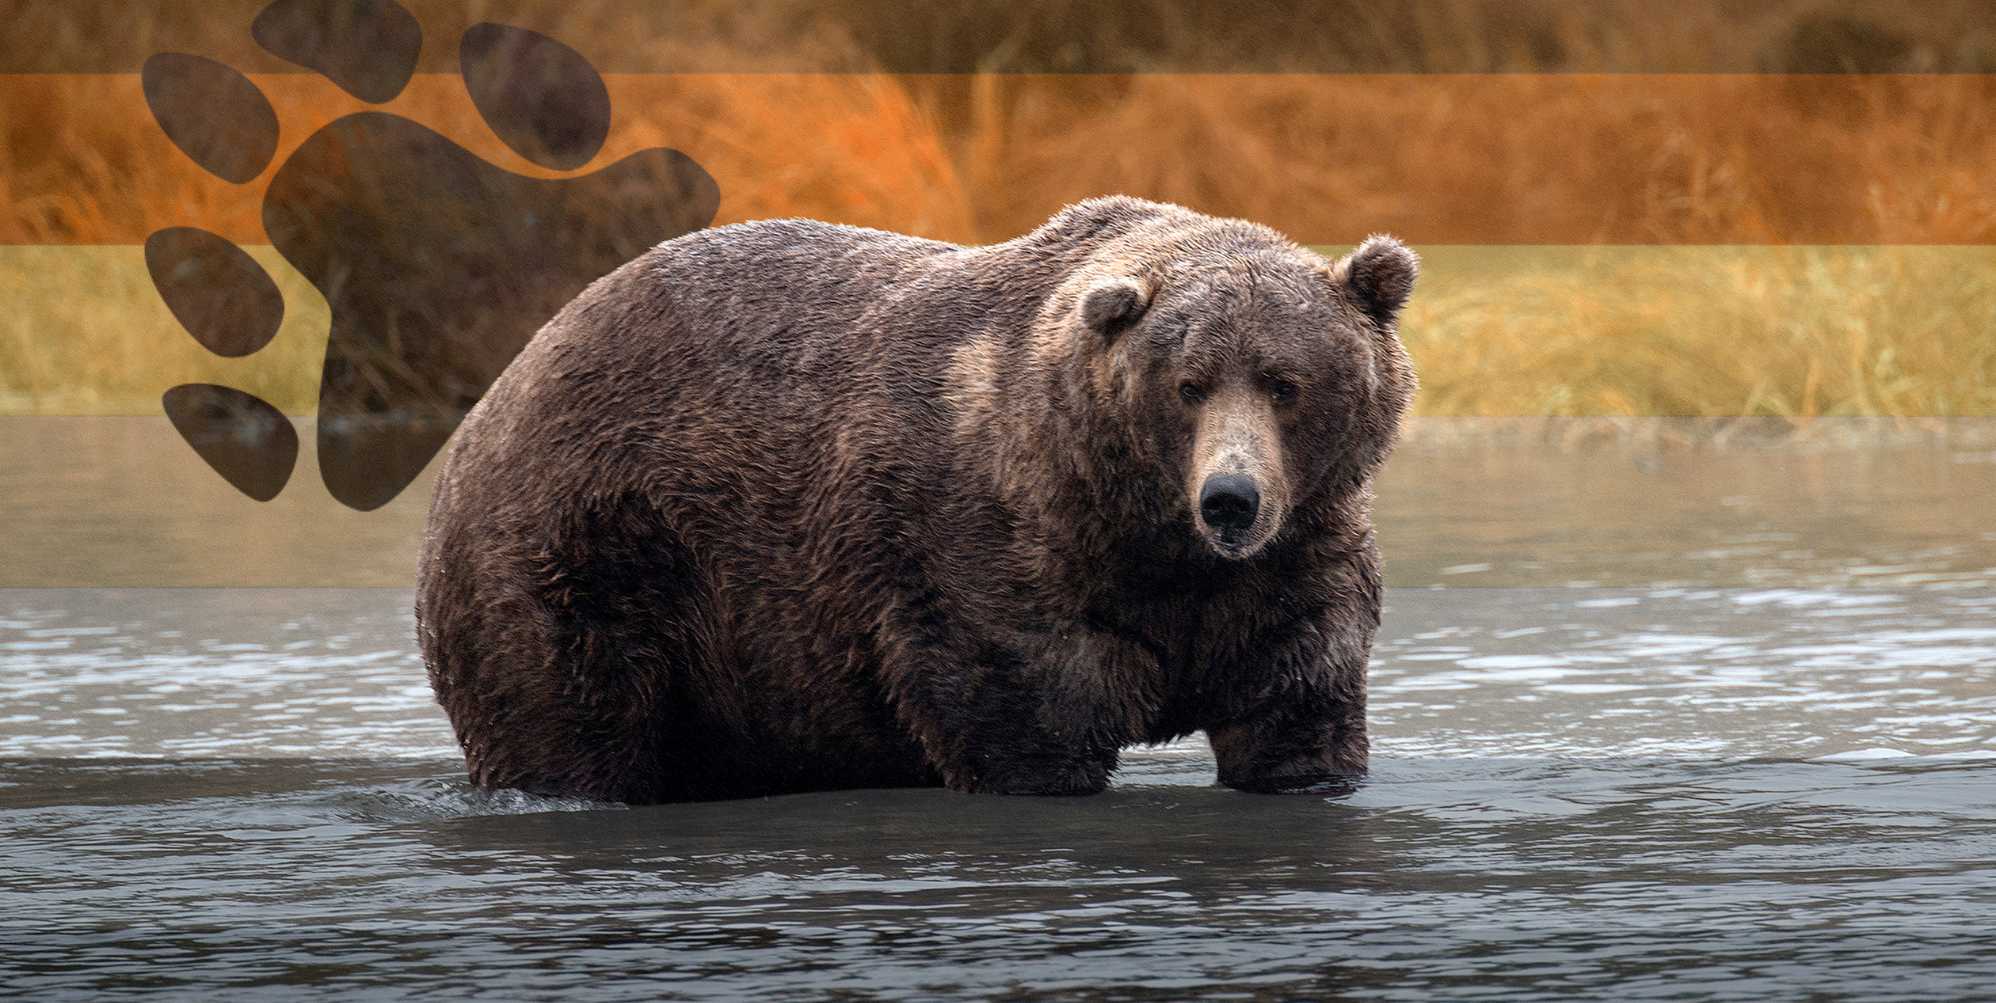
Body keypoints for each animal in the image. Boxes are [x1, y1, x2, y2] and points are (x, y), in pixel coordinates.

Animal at [415, 195, 1418, 803]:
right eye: (1188, 384)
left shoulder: (1291, 565)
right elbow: (1027, 717)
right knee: (568, 716)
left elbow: (1296, 707)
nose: (1231, 499)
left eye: (1285, 382)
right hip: (592, 551)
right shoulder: (989, 552)